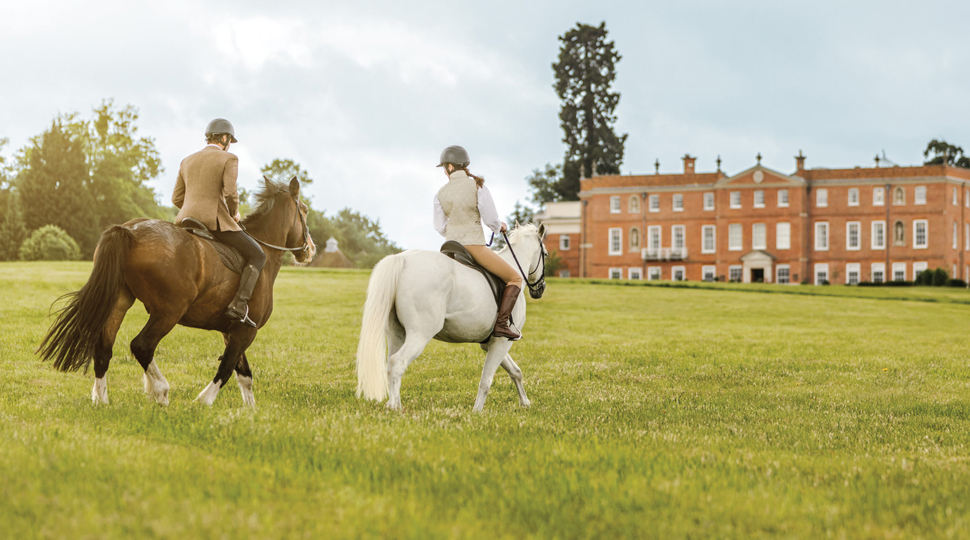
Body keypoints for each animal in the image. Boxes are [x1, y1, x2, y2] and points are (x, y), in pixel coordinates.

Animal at [37, 177, 316, 404]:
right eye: (304, 211)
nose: (310, 249)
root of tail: (130, 230)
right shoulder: (246, 331)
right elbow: (227, 369)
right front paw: (203, 402)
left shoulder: (233, 331)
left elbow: (244, 375)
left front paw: (250, 413)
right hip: (169, 311)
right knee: (142, 345)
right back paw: (160, 391)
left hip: (120, 301)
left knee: (104, 346)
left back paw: (102, 399)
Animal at [354, 221, 544, 412]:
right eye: (546, 254)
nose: (539, 290)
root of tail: (403, 259)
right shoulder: (502, 341)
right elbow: (486, 380)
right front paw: (477, 412)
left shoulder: (490, 343)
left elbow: (515, 371)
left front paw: (525, 403)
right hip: (419, 335)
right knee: (397, 363)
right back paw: (394, 407)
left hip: (396, 334)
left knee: (390, 364)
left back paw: (395, 404)